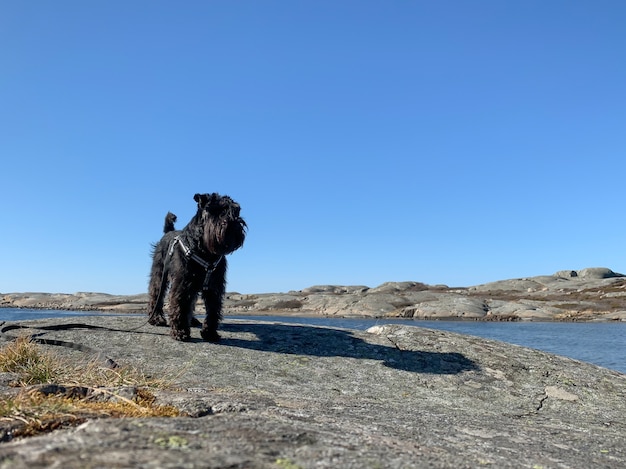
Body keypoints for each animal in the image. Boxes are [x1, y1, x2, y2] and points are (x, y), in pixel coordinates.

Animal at [147, 192, 245, 342]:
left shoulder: (214, 287)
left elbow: (213, 310)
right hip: (160, 275)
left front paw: (210, 333)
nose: (233, 223)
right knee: (156, 294)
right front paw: (180, 331)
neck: (206, 251)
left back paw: (192, 320)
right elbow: (180, 305)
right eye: (214, 210)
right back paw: (156, 319)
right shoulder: (183, 283)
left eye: (236, 210)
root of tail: (168, 232)